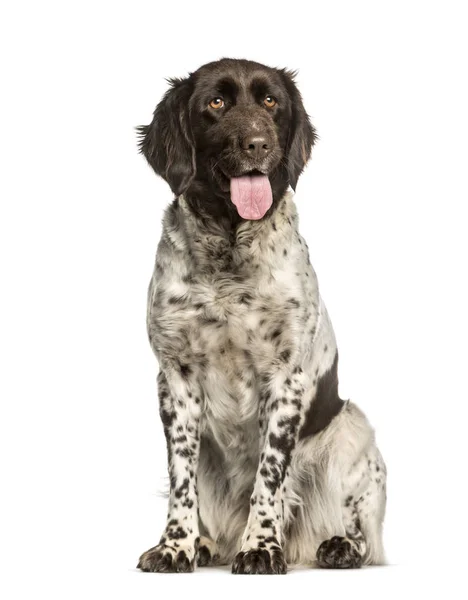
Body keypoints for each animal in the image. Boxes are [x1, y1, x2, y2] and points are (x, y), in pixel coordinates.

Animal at [137, 58, 386, 576]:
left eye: (271, 101)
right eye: (216, 102)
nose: (257, 144)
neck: (230, 254)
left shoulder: (285, 378)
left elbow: (269, 477)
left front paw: (262, 547)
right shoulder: (175, 379)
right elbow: (181, 480)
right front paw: (175, 547)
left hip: (353, 430)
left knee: (362, 534)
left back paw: (336, 546)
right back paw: (207, 543)